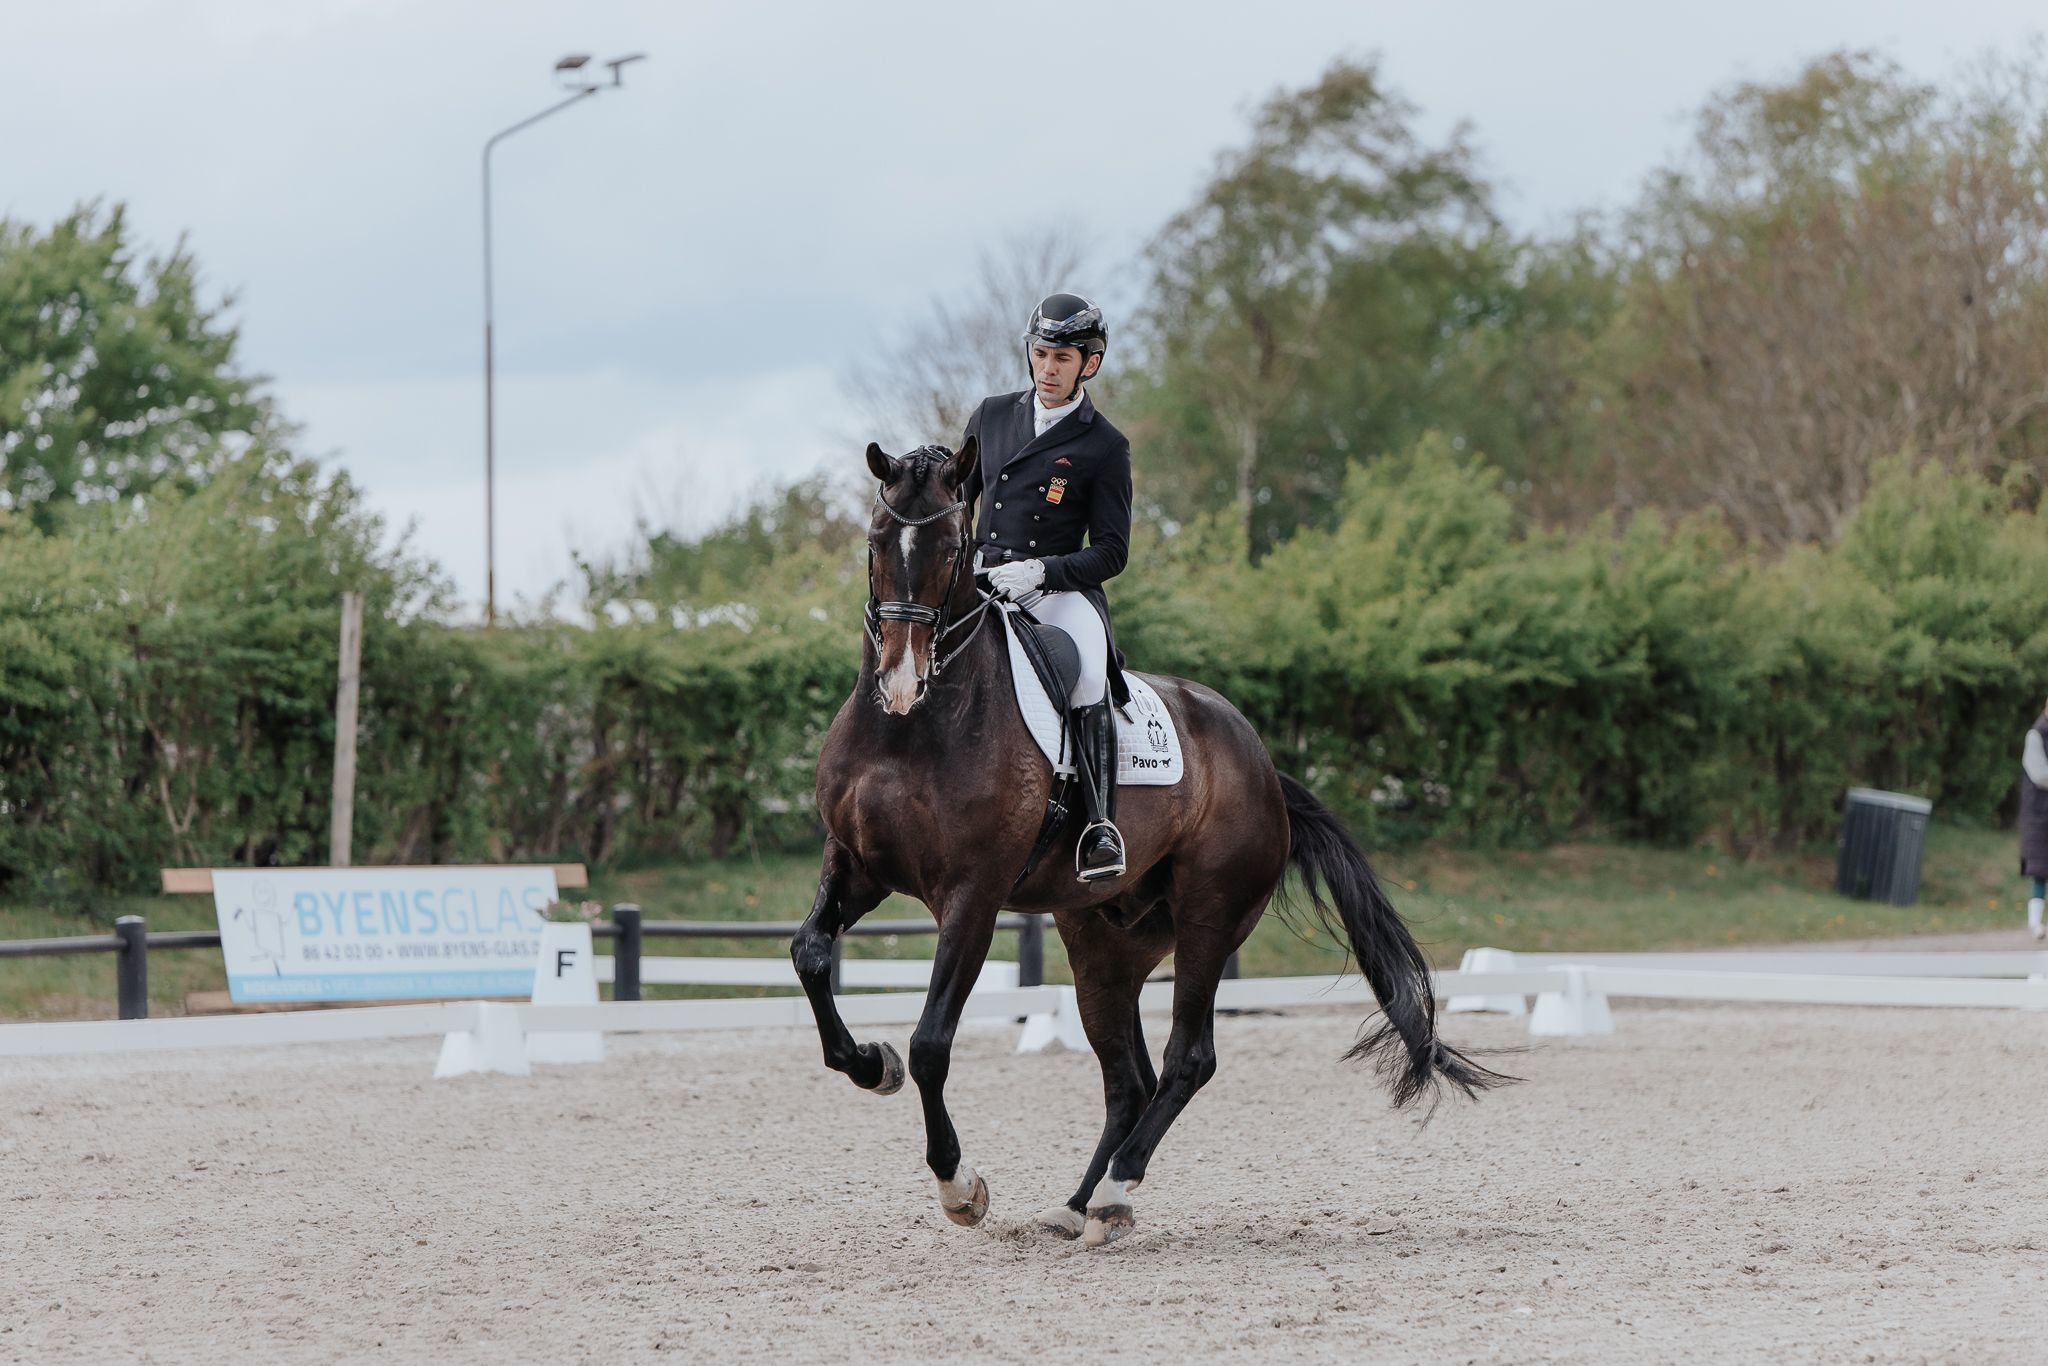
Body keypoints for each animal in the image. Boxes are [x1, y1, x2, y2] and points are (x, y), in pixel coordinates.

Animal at [782, 440, 1507, 1253]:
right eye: (876, 542)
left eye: (950, 548)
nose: (900, 682)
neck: (912, 731)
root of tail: (1262, 764)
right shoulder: (857, 865)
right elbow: (811, 955)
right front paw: (869, 1064)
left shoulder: (973, 895)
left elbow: (932, 1043)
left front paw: (960, 1188)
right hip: (1104, 941)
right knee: (1129, 1081)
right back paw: (1077, 1205)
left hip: (1207, 919)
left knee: (1188, 1059)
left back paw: (1114, 1194)